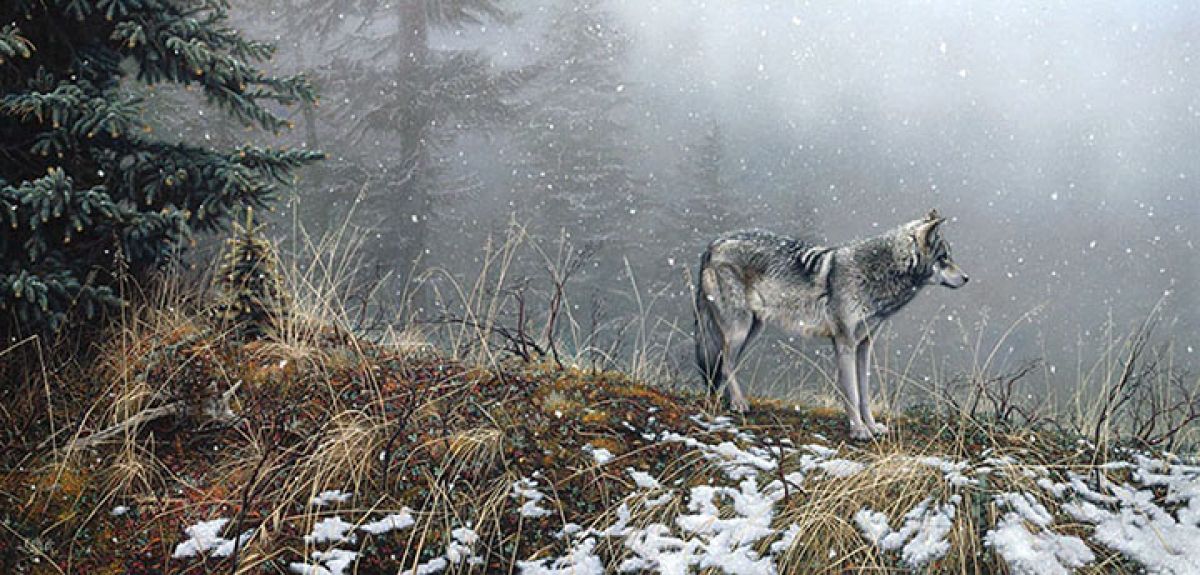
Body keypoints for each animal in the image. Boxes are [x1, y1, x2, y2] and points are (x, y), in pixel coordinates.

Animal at [694, 209, 968, 439]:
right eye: (944, 258)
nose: (966, 278)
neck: (878, 275)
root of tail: (714, 244)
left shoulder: (864, 345)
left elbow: (864, 393)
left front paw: (871, 427)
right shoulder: (844, 343)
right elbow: (851, 393)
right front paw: (858, 430)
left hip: (752, 330)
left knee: (724, 363)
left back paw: (726, 400)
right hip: (740, 328)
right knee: (726, 362)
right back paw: (738, 403)